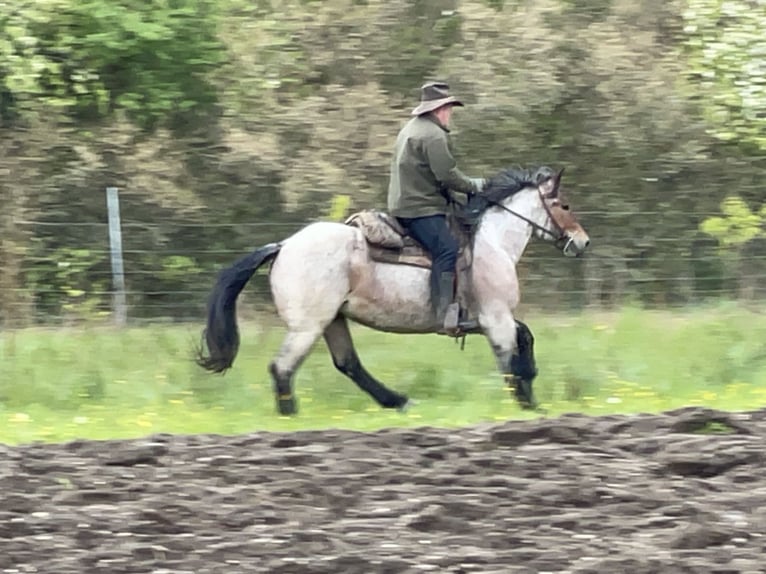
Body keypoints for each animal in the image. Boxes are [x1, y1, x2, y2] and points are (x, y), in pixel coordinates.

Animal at [195, 165, 592, 414]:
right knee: (282, 368)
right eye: (564, 204)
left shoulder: (488, 319)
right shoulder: (496, 318)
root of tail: (283, 246)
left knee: (348, 364)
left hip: (332, 320)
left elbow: (525, 338)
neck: (492, 242)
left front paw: (530, 389)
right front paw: (529, 402)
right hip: (308, 326)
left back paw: (397, 401)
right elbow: (510, 358)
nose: (583, 241)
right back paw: (291, 417)